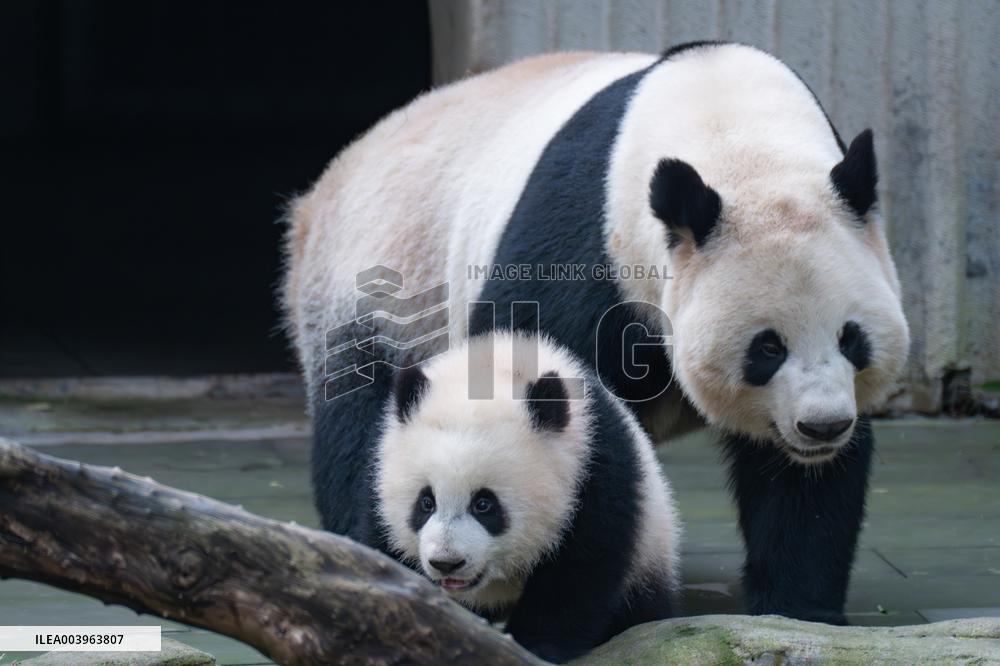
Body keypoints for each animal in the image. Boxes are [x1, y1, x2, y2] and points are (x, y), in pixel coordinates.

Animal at [282, 41, 910, 625]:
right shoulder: (582, 247)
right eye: (768, 347)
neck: (735, 135)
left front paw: (798, 611)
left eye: (852, 339)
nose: (822, 426)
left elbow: (802, 485)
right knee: (363, 420)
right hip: (376, 282)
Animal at [375, 332, 680, 662]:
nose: (447, 562)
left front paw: (535, 645)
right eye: (426, 502)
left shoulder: (596, 471)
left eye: (484, 505)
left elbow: (579, 571)